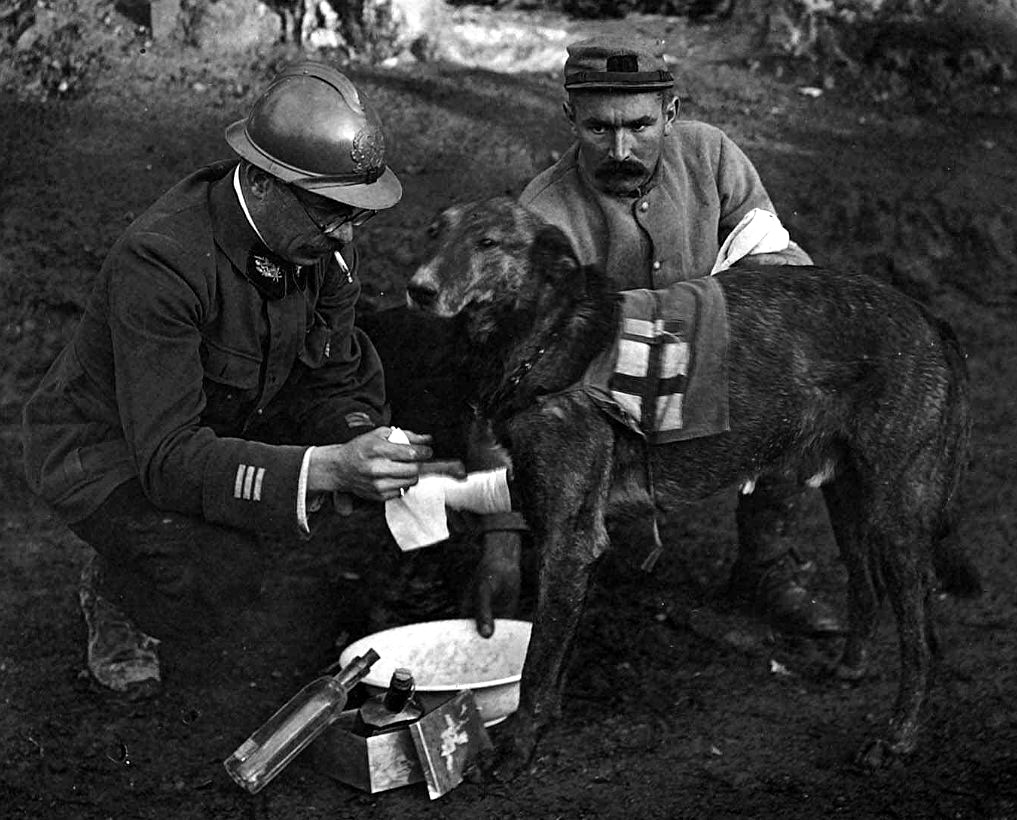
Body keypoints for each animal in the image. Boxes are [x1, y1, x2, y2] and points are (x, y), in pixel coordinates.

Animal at [404, 196, 976, 781]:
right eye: (433, 233)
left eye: (488, 243)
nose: (417, 288)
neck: (546, 336)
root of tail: (930, 318)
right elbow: (552, 656)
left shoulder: (570, 541)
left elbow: (539, 666)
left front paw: (517, 750)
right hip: (852, 502)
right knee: (867, 591)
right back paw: (852, 669)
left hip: (898, 515)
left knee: (923, 640)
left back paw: (897, 739)